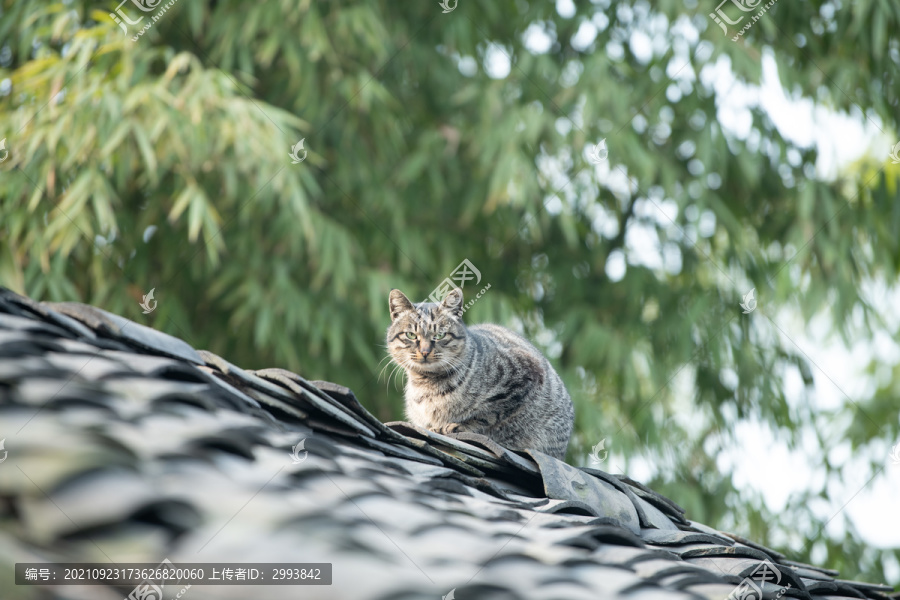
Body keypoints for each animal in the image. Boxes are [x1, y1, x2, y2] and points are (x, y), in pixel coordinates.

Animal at [384, 286, 572, 460]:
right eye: (411, 335)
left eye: (440, 335)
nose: (424, 351)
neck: (427, 383)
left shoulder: (524, 376)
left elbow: (488, 414)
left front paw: (460, 425)